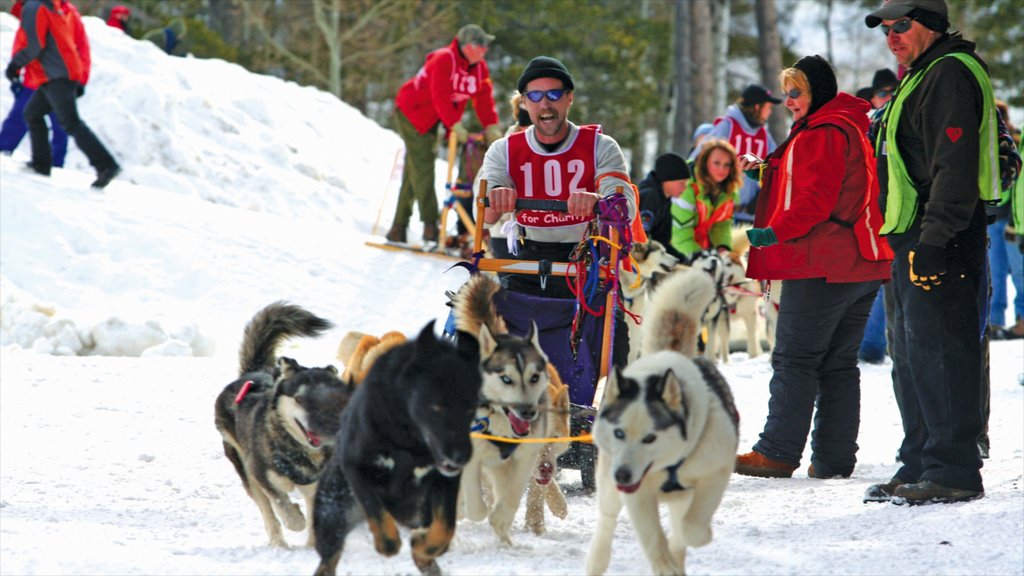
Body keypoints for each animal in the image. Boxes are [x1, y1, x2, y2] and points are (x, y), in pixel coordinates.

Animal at [214, 301, 354, 545]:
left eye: (328, 399)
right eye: (299, 398)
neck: (299, 451)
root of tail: (253, 373)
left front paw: (312, 544)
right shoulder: (263, 475)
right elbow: (283, 508)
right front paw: (296, 519)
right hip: (246, 470)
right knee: (268, 512)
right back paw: (279, 543)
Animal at [311, 319, 483, 569]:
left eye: (470, 407)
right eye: (436, 407)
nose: (461, 455)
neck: (410, 442)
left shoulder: (446, 481)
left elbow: (444, 529)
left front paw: (424, 545)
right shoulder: (357, 468)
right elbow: (378, 515)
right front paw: (387, 542)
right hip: (332, 516)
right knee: (329, 557)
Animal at [585, 268, 745, 573]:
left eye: (650, 437)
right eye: (619, 433)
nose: (622, 474)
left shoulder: (716, 472)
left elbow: (690, 528)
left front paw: (687, 540)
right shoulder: (637, 495)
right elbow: (652, 539)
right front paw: (665, 563)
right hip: (609, 485)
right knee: (606, 520)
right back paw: (597, 559)